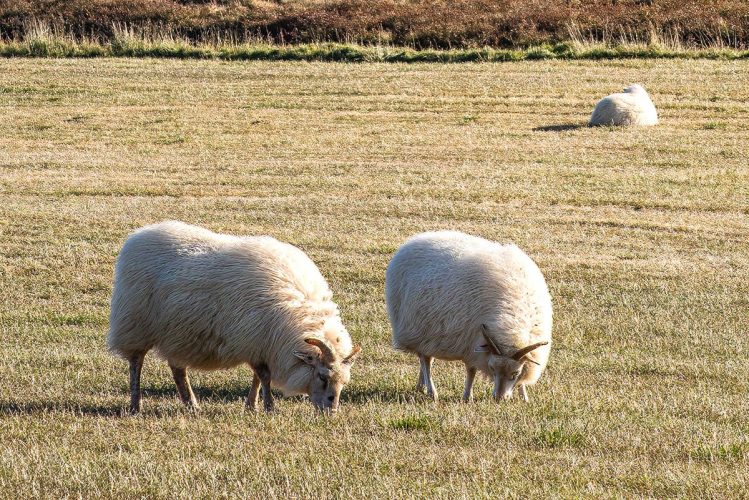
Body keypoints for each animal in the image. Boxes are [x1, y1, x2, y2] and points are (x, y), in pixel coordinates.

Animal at [108, 221, 361, 414]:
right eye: (322, 376)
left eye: (344, 381)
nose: (332, 410)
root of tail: (140, 235)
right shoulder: (254, 338)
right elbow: (264, 376)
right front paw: (269, 407)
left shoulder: (259, 344)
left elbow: (258, 377)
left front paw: (252, 405)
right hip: (135, 323)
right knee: (136, 363)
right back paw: (135, 405)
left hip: (177, 333)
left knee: (177, 369)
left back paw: (192, 405)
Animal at [385, 231, 552, 403]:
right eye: (492, 369)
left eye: (515, 373)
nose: (498, 398)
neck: (514, 320)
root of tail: (413, 240)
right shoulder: (471, 343)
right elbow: (471, 372)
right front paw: (467, 396)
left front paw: (524, 396)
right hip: (418, 328)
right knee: (426, 361)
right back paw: (432, 391)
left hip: (425, 333)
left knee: (424, 357)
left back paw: (421, 386)